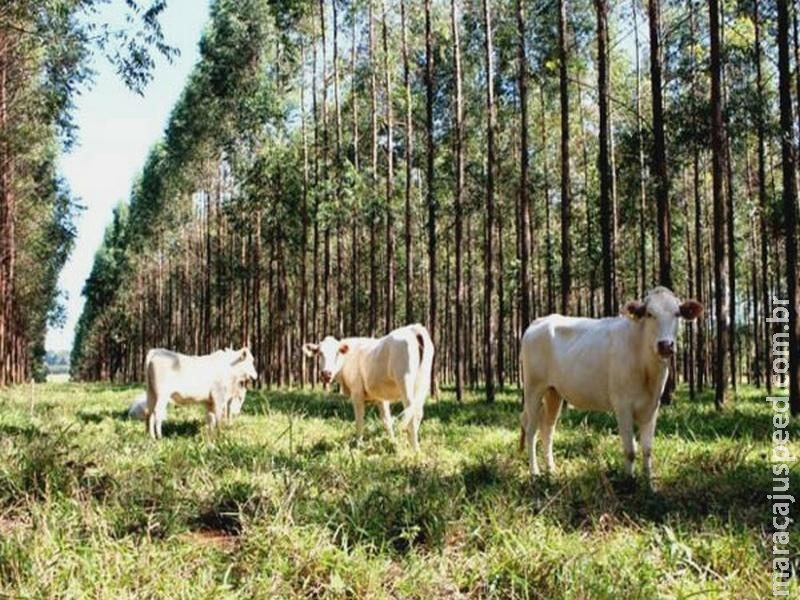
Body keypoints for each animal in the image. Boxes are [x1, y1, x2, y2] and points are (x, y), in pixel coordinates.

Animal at [302, 324, 438, 450]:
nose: (326, 373)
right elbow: (386, 420)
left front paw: (358, 445)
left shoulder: (357, 393)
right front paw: (393, 443)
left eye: (337, 353)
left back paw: (415, 450)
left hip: (405, 381)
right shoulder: (380, 397)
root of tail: (413, 328)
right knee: (418, 413)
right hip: (422, 383)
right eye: (320, 353)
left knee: (411, 415)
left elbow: (359, 420)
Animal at [520, 288, 700, 482]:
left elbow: (647, 450)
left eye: (677, 314)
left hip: (553, 392)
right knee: (531, 430)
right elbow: (630, 450)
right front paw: (629, 481)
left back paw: (551, 470)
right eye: (649, 314)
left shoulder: (652, 406)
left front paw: (649, 482)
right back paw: (535, 473)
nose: (665, 345)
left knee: (547, 429)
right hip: (533, 388)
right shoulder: (622, 405)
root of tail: (539, 321)